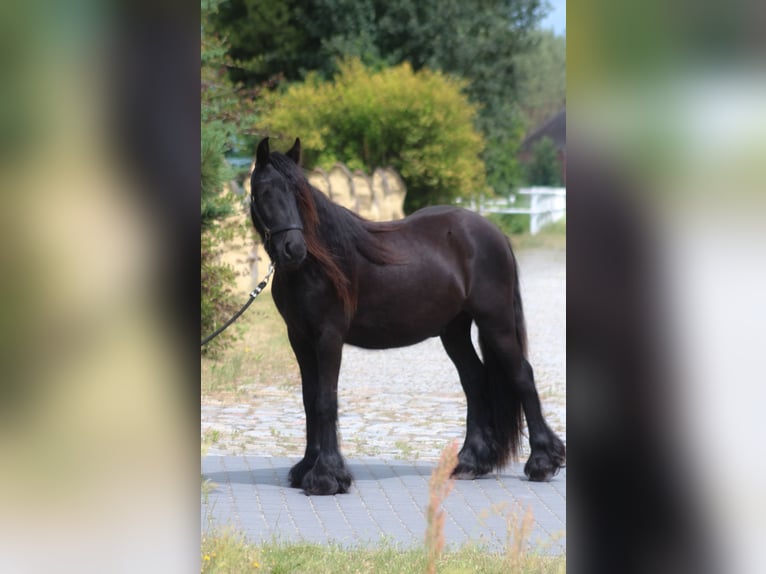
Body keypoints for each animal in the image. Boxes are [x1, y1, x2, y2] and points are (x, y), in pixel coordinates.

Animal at [250, 137, 565, 495]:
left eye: (299, 193)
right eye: (264, 192)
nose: (293, 249)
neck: (317, 264)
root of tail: (493, 232)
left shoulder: (328, 337)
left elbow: (325, 400)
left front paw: (327, 477)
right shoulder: (300, 338)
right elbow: (308, 399)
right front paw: (306, 468)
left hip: (495, 322)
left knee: (522, 375)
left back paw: (542, 463)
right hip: (454, 330)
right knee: (474, 380)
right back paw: (469, 462)